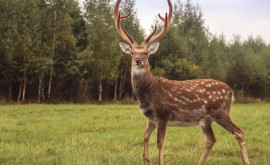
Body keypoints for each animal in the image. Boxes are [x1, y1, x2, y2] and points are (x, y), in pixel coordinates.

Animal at [114, 0, 249, 164]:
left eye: (146, 52)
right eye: (132, 52)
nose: (138, 60)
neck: (149, 92)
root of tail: (231, 91)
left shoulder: (162, 114)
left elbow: (160, 143)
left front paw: (158, 161)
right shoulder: (150, 118)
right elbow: (145, 136)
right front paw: (146, 158)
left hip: (221, 112)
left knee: (239, 132)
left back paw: (246, 161)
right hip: (206, 119)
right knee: (211, 139)